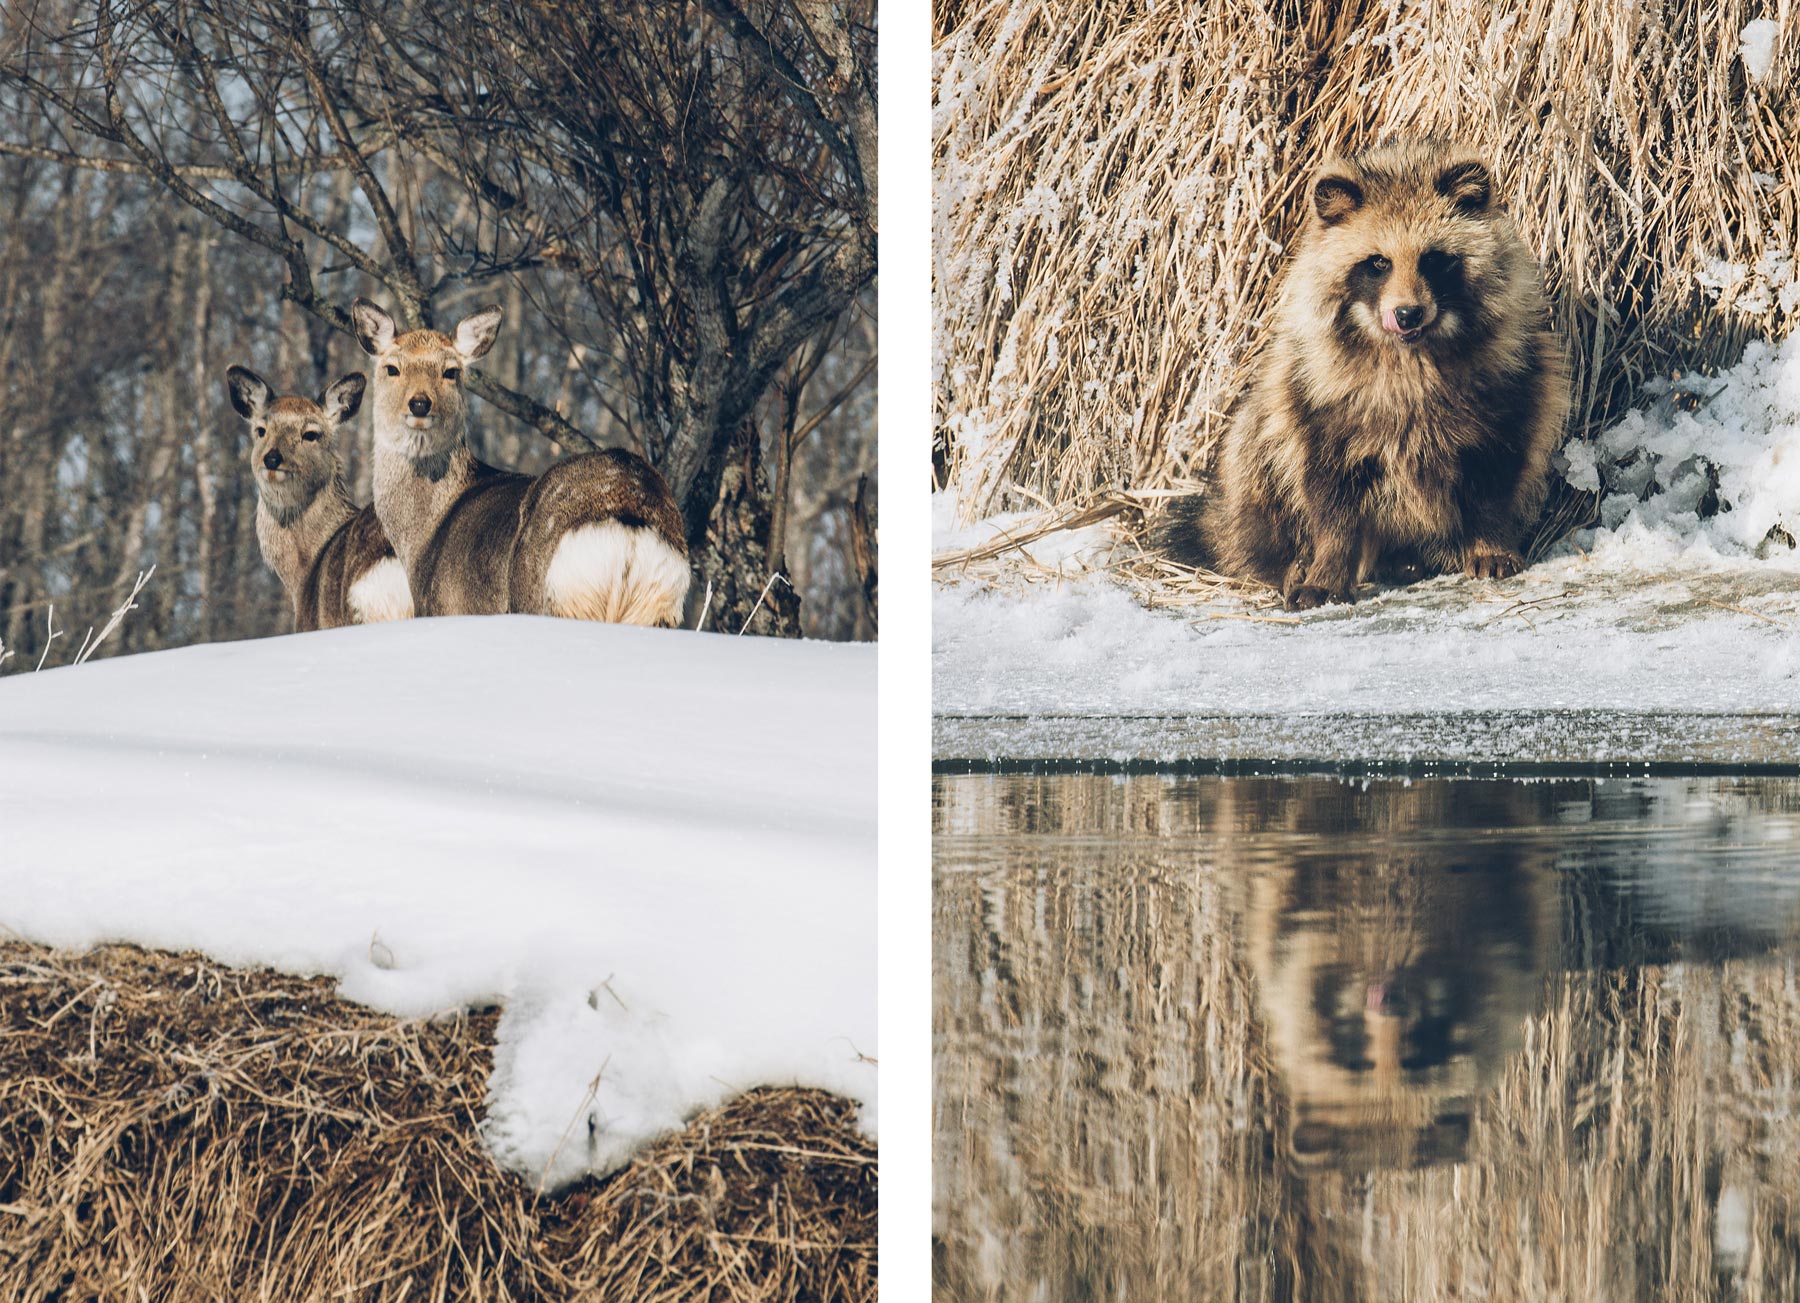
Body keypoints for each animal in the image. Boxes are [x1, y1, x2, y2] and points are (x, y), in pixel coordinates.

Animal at [349, 296, 687, 622]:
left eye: (451, 372)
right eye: (392, 368)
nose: (419, 403)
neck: (422, 537)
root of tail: (629, 526)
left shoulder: (443, 607)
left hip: (540, 596)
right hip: (657, 610)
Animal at [1166, 142, 1562, 611]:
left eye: (1434, 260)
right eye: (1378, 263)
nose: (1407, 314)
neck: (1410, 354)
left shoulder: (1512, 386)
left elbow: (1494, 477)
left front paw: (1489, 543)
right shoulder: (1318, 403)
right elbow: (1330, 502)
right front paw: (1326, 569)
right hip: (1259, 445)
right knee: (1256, 458)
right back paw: (1289, 563)